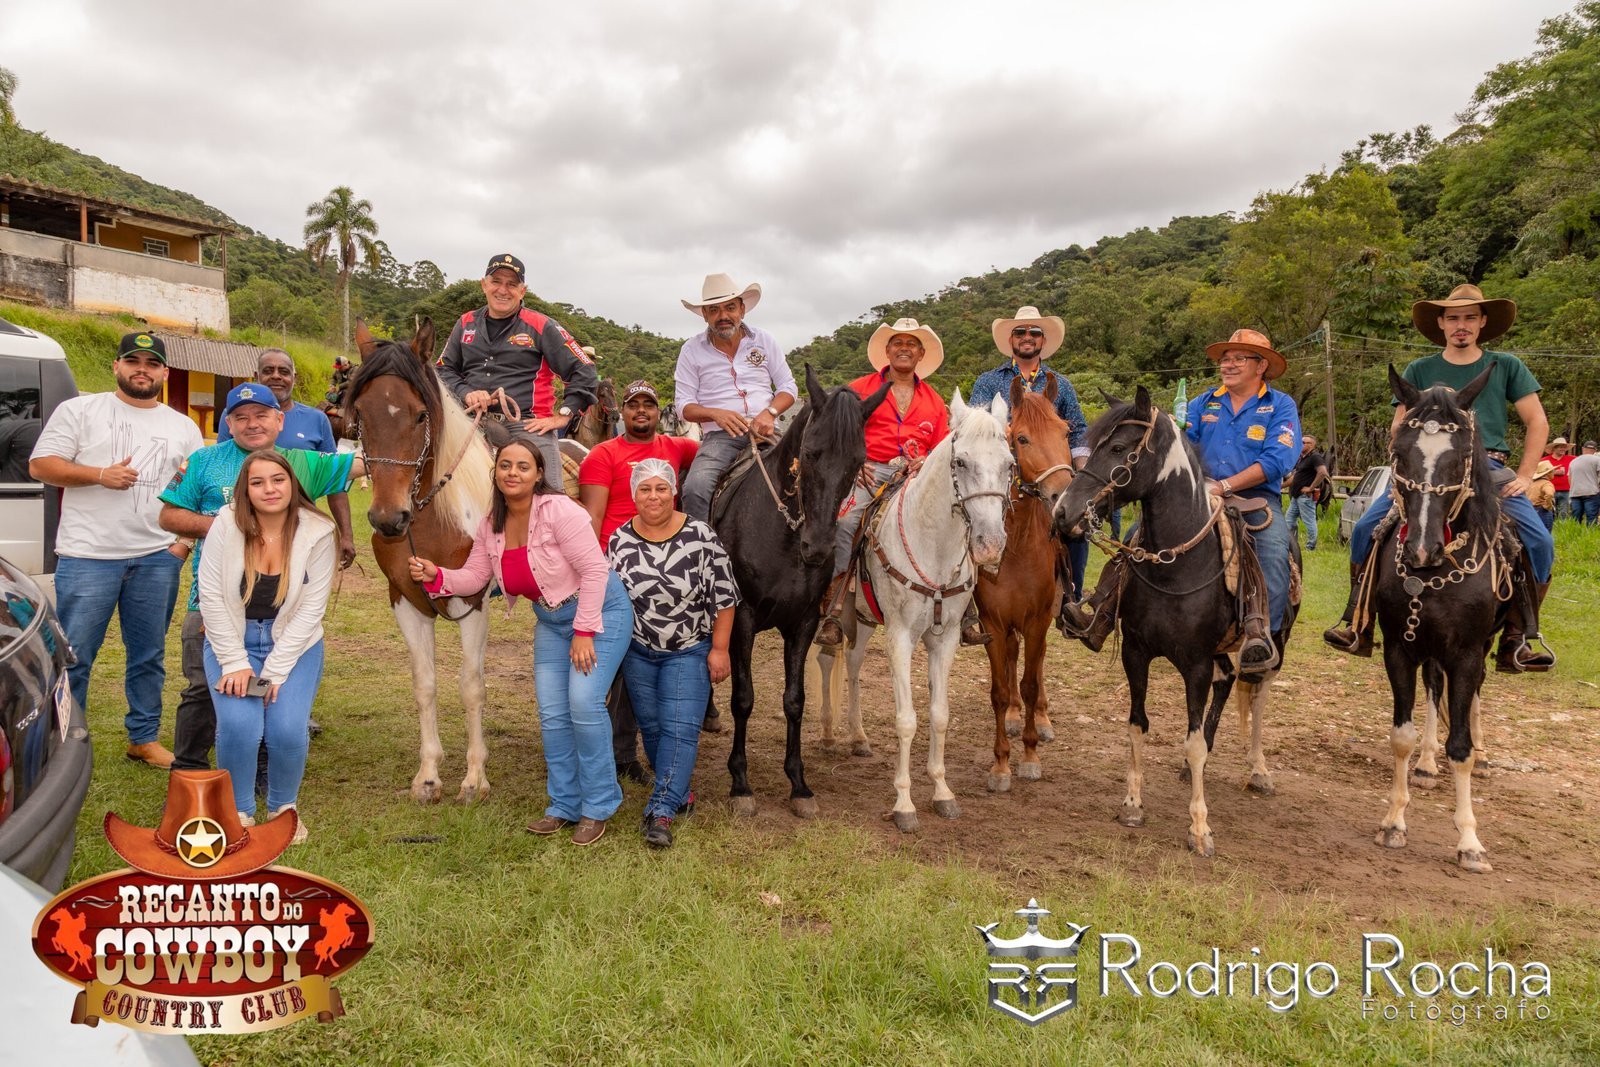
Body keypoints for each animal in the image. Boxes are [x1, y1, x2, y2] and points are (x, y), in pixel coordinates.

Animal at [346, 319, 497, 804]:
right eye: (361, 415)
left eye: (419, 415)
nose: (389, 518)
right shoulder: (406, 601)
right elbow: (425, 684)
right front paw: (429, 774)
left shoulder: (473, 603)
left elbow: (471, 686)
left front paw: (474, 778)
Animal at [714, 364, 890, 818]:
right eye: (811, 452)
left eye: (858, 461)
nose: (819, 549)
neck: (785, 534)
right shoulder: (742, 618)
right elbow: (743, 698)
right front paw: (740, 782)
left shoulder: (805, 622)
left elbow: (795, 700)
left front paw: (799, 783)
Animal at [815, 390, 1012, 832]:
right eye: (961, 462)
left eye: (1010, 464)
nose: (990, 545)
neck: (934, 546)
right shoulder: (901, 636)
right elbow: (907, 719)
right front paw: (904, 804)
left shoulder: (946, 638)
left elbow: (939, 715)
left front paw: (942, 792)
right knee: (825, 657)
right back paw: (829, 735)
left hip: (865, 621)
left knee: (852, 663)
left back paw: (857, 737)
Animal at [1053, 386, 1296, 856]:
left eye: (1118, 448)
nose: (1062, 511)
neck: (1176, 566)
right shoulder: (1136, 653)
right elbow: (1137, 725)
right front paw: (1132, 804)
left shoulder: (1195, 664)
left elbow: (1195, 739)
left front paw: (1200, 828)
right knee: (1227, 683)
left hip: (1273, 643)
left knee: (1256, 694)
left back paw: (1258, 770)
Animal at [1372, 365, 1518, 873]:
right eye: (1400, 453)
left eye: (1459, 461)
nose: (1420, 548)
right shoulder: (1399, 647)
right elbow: (1402, 736)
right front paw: (1395, 821)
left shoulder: (1468, 653)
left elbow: (1462, 749)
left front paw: (1470, 841)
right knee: (1435, 690)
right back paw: (1426, 762)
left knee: (1471, 699)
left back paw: (1482, 749)